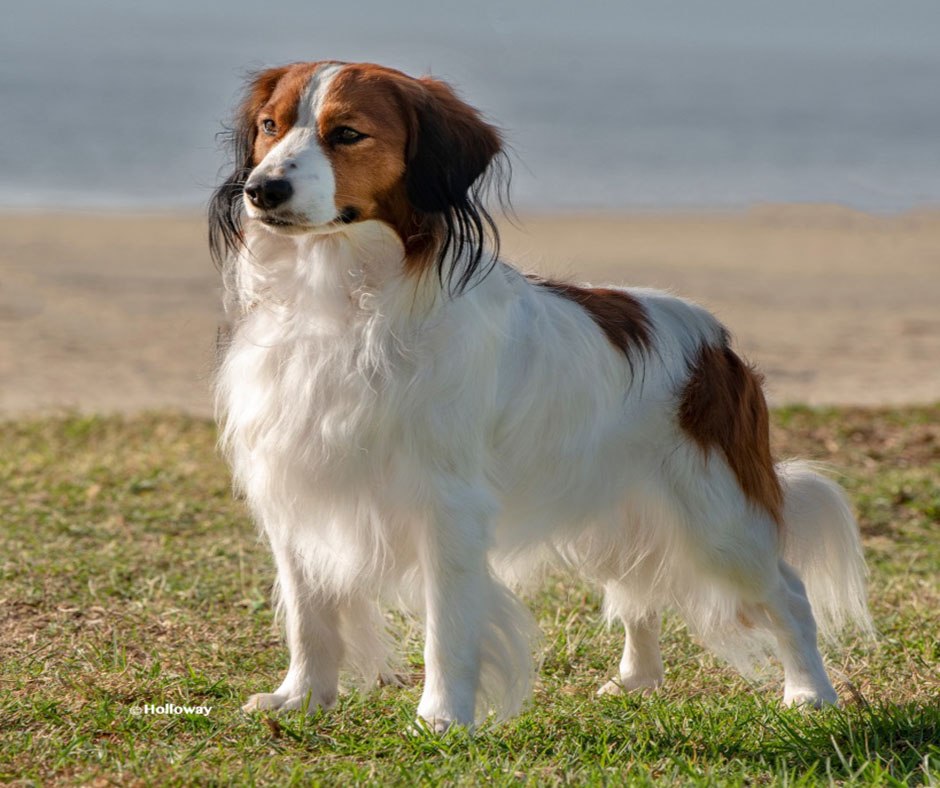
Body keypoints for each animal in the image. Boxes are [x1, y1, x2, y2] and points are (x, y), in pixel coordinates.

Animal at [209, 61, 872, 732]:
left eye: (346, 133)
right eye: (270, 126)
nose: (261, 191)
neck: (338, 302)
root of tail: (719, 344)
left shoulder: (448, 507)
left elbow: (448, 627)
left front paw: (442, 719)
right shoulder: (295, 490)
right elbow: (309, 616)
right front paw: (300, 698)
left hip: (718, 520)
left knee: (788, 593)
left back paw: (810, 693)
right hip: (616, 516)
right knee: (638, 593)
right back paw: (637, 681)